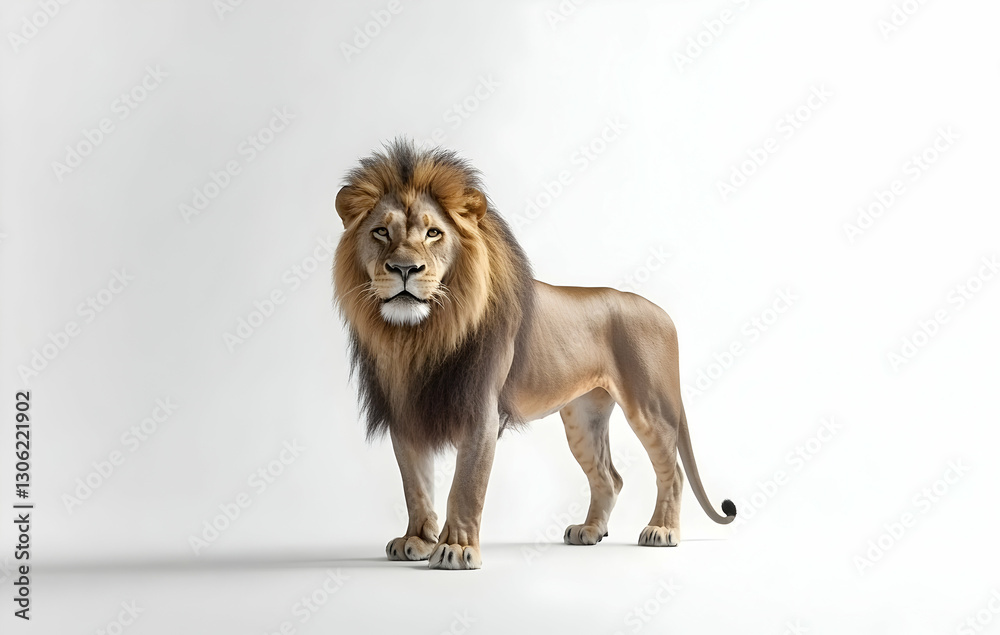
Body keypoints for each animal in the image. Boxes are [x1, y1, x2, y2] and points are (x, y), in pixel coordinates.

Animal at [333, 139, 736, 570]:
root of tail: (663, 313)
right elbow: (416, 485)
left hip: (650, 405)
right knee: (610, 477)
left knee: (672, 471)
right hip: (583, 417)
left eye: (433, 233)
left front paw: (455, 548)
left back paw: (662, 530)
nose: (404, 268)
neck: (419, 335)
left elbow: (466, 486)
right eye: (380, 231)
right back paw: (589, 531)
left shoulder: (481, 411)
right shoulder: (405, 411)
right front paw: (417, 540)